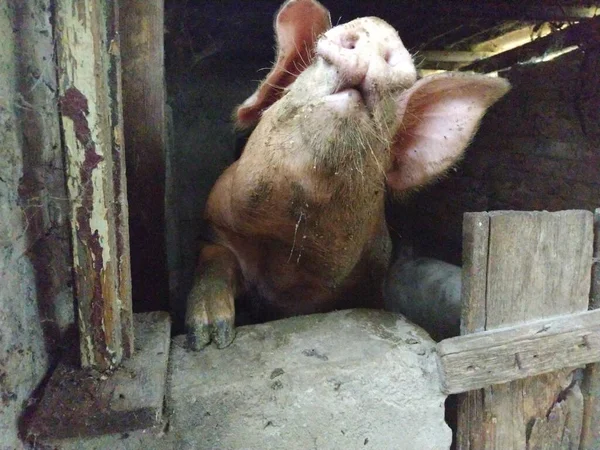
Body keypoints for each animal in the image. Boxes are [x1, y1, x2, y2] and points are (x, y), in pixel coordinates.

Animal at [185, 0, 508, 350]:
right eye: (306, 68)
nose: (380, 28)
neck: (282, 251)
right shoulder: (212, 226)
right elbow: (215, 260)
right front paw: (210, 336)